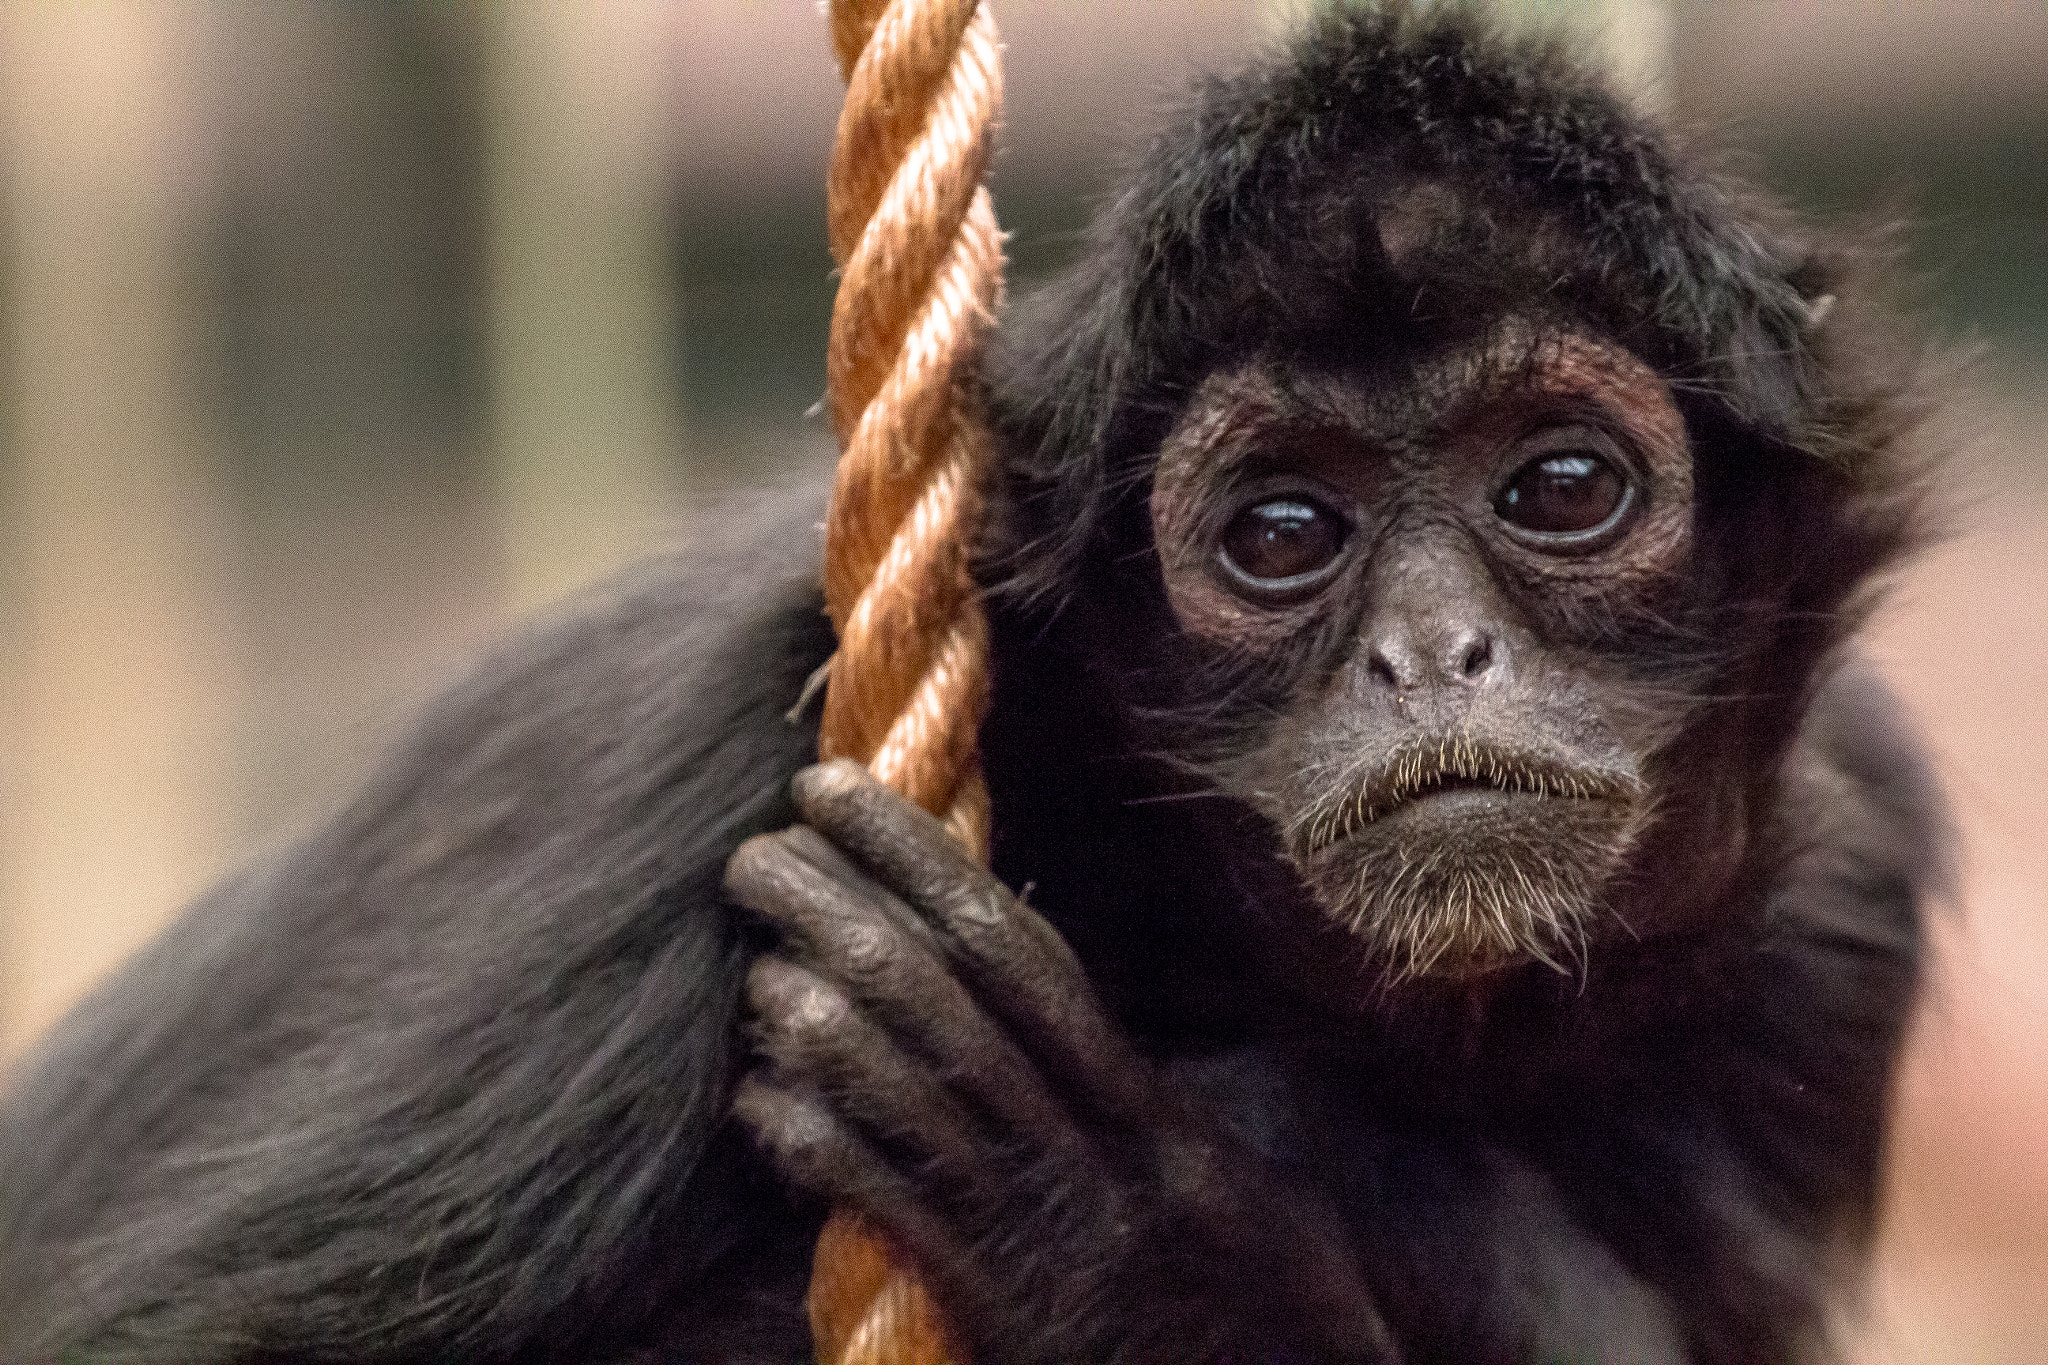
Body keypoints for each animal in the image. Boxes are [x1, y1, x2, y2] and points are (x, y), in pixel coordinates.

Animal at [0, 5, 1942, 1363]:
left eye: (1559, 487)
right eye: (1282, 531)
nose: (1432, 653)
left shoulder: (1848, 869)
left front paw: (1131, 1249)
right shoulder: (743, 763)